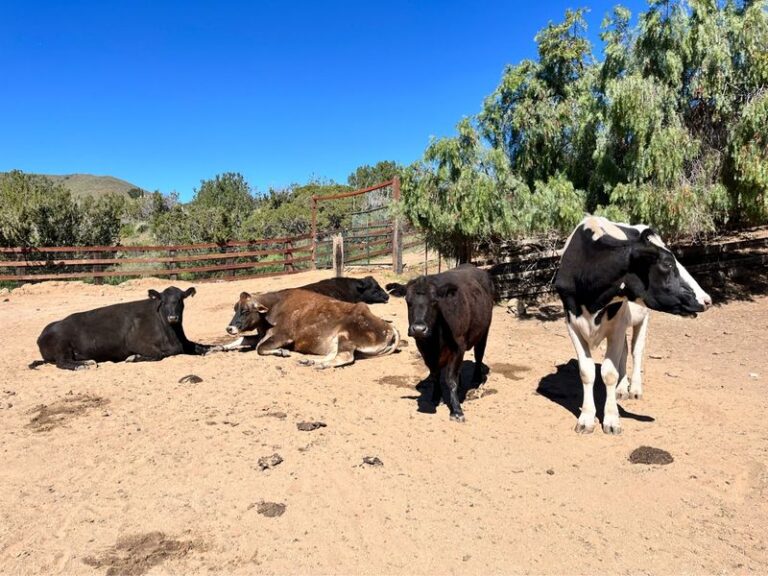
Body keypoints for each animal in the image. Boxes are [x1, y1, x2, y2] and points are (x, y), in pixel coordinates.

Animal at [32, 286, 206, 370]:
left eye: (180, 300)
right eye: (162, 301)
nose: (173, 317)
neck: (172, 335)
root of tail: (43, 332)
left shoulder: (184, 342)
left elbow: (200, 347)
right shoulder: (135, 343)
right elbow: (160, 354)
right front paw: (133, 357)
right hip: (62, 345)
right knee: (61, 362)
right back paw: (83, 365)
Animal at [222, 289, 399, 368]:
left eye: (245, 310)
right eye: (235, 308)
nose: (229, 328)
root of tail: (388, 327)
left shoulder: (283, 336)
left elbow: (260, 348)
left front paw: (281, 352)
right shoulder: (261, 335)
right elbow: (244, 338)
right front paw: (222, 346)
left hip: (345, 337)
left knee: (345, 357)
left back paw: (319, 364)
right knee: (333, 355)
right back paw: (310, 360)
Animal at [394, 264, 495, 422]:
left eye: (435, 302)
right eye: (408, 301)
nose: (419, 329)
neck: (435, 339)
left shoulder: (458, 347)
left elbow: (451, 379)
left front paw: (457, 410)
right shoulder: (425, 350)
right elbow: (435, 374)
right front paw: (436, 397)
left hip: (484, 330)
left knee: (479, 355)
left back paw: (475, 380)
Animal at [554, 216, 712, 434]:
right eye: (668, 264)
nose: (706, 299)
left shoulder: (617, 325)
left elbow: (609, 372)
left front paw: (612, 419)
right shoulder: (571, 324)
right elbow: (587, 372)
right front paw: (586, 419)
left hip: (642, 319)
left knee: (636, 351)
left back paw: (635, 388)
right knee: (624, 351)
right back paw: (622, 388)